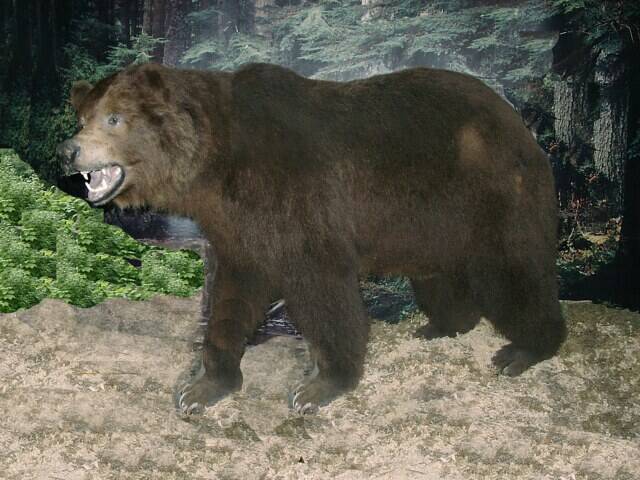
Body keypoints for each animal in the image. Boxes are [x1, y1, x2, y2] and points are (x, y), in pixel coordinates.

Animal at [57, 62, 566, 415]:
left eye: (115, 119)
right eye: (82, 115)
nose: (68, 150)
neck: (216, 163)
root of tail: (517, 121)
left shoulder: (294, 199)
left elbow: (322, 287)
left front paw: (317, 385)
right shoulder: (237, 225)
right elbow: (231, 296)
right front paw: (202, 385)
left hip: (488, 193)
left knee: (513, 271)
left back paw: (524, 348)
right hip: (431, 222)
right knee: (438, 274)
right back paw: (441, 325)